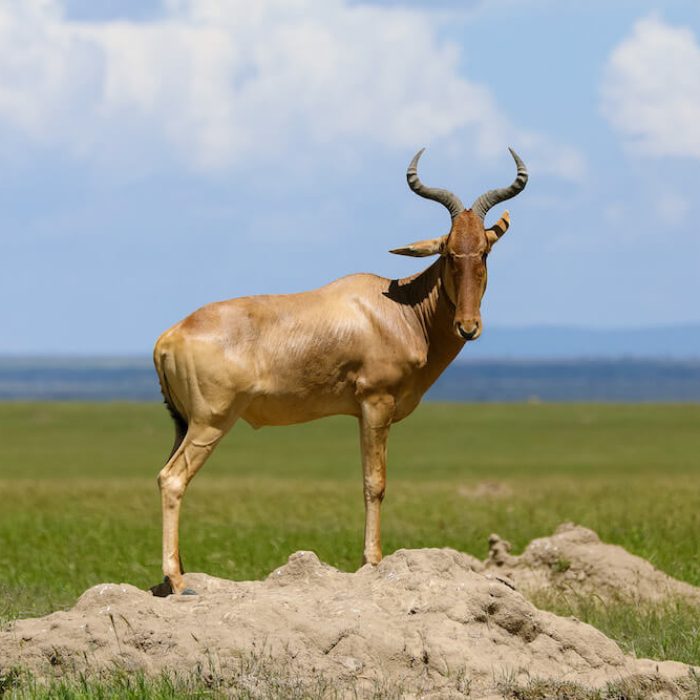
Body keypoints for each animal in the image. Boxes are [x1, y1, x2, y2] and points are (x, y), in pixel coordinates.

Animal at [152, 148, 524, 596]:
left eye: (483, 250)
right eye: (448, 251)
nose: (468, 326)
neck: (397, 308)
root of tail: (169, 337)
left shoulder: (362, 411)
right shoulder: (376, 403)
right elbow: (375, 483)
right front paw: (373, 561)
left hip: (183, 423)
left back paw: (174, 574)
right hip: (211, 421)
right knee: (173, 478)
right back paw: (178, 580)